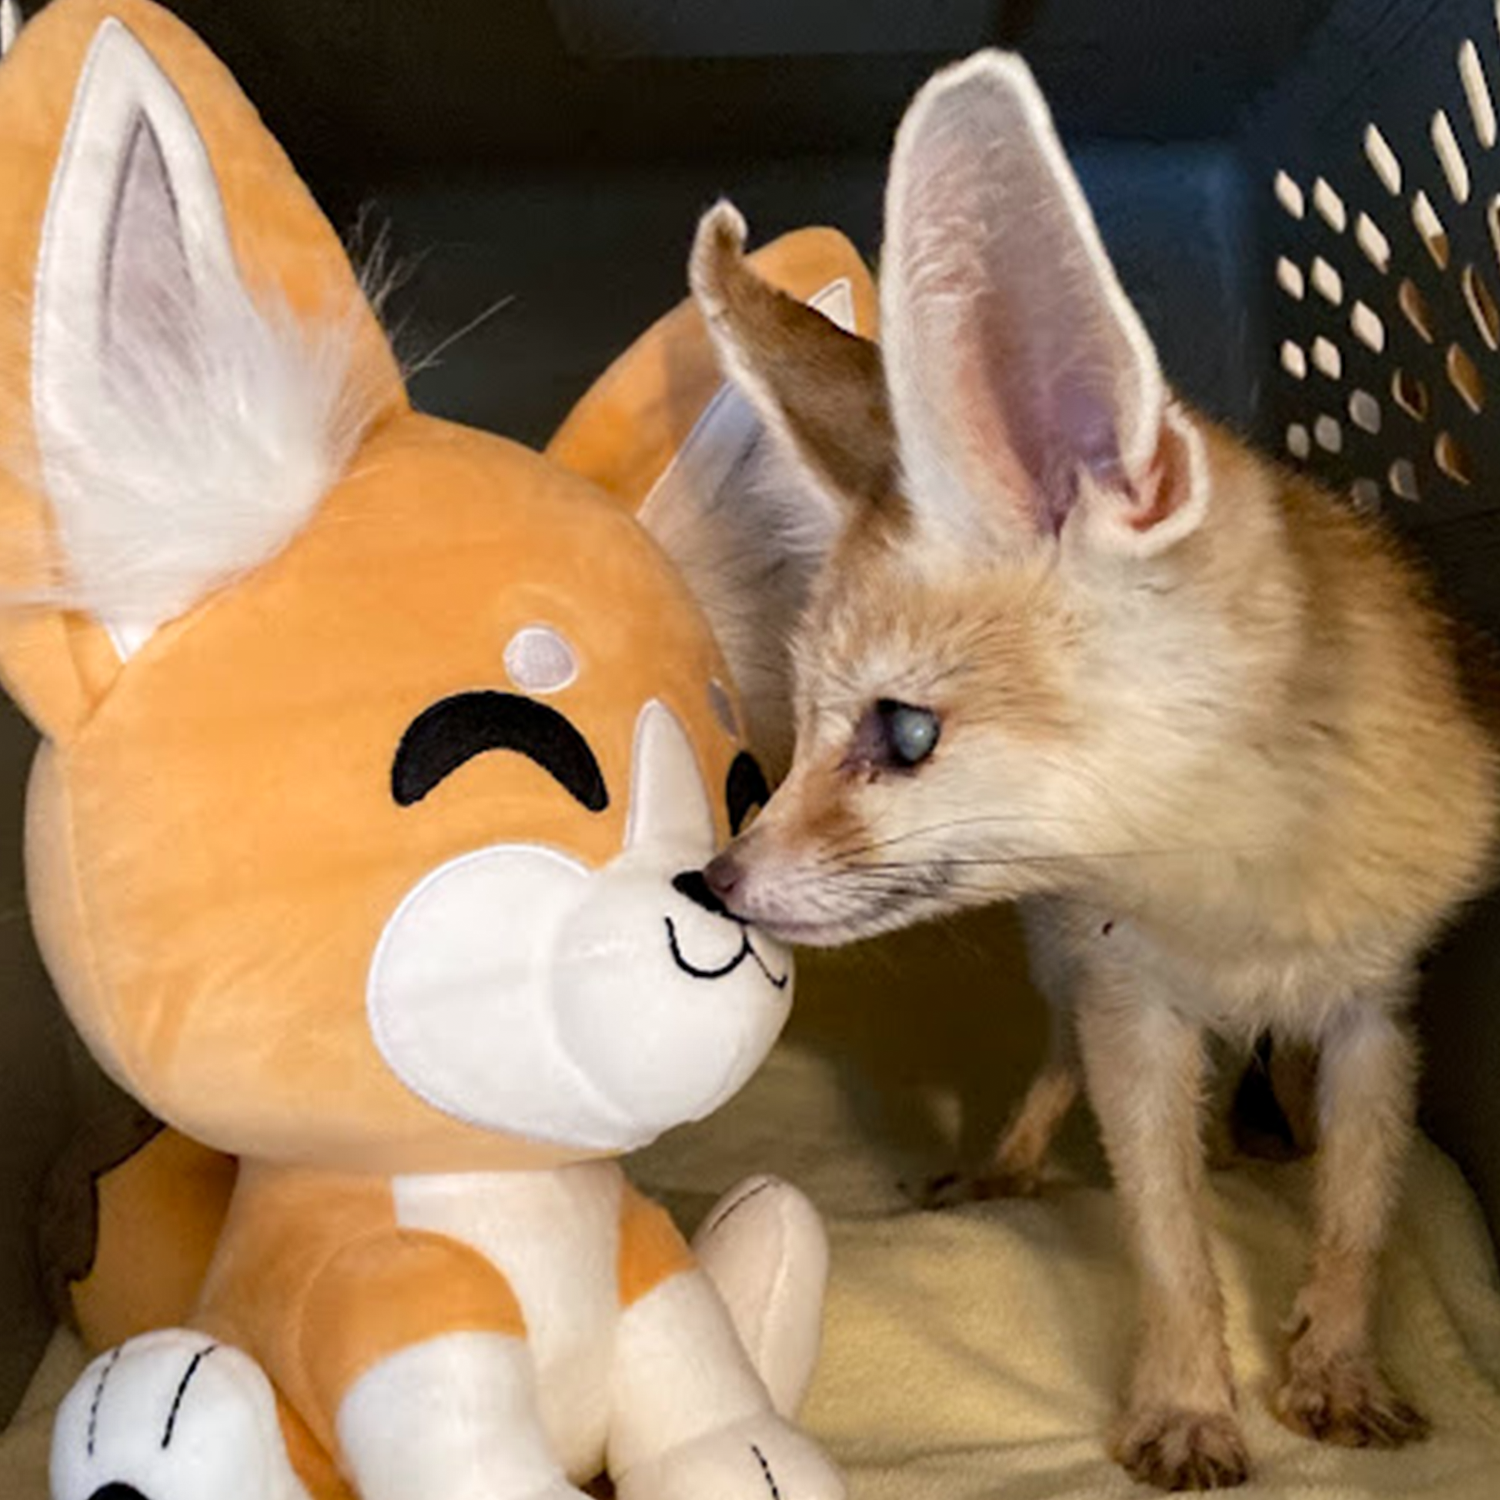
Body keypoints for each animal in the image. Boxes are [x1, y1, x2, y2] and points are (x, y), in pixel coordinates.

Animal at [681, 49, 1500, 1492]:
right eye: (810, 721)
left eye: (902, 735)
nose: (712, 882)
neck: (1245, 903)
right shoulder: (1137, 1013)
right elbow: (1169, 1237)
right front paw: (1187, 1404)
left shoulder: (1376, 1013)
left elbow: (1360, 1211)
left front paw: (1336, 1366)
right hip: (1067, 970)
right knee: (1056, 1072)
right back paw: (1008, 1169)